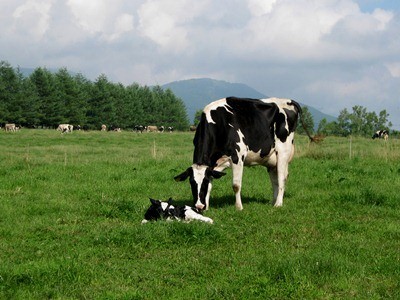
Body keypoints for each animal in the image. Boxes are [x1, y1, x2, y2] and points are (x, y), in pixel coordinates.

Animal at [176, 97, 306, 210]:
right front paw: (206, 207)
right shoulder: (212, 165)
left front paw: (239, 207)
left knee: (281, 178)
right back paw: (273, 202)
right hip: (271, 159)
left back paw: (278, 204)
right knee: (275, 180)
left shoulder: (237, 156)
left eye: (204, 182)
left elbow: (236, 185)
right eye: (192, 183)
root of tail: (288, 100)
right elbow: (211, 185)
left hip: (283, 152)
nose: (198, 206)